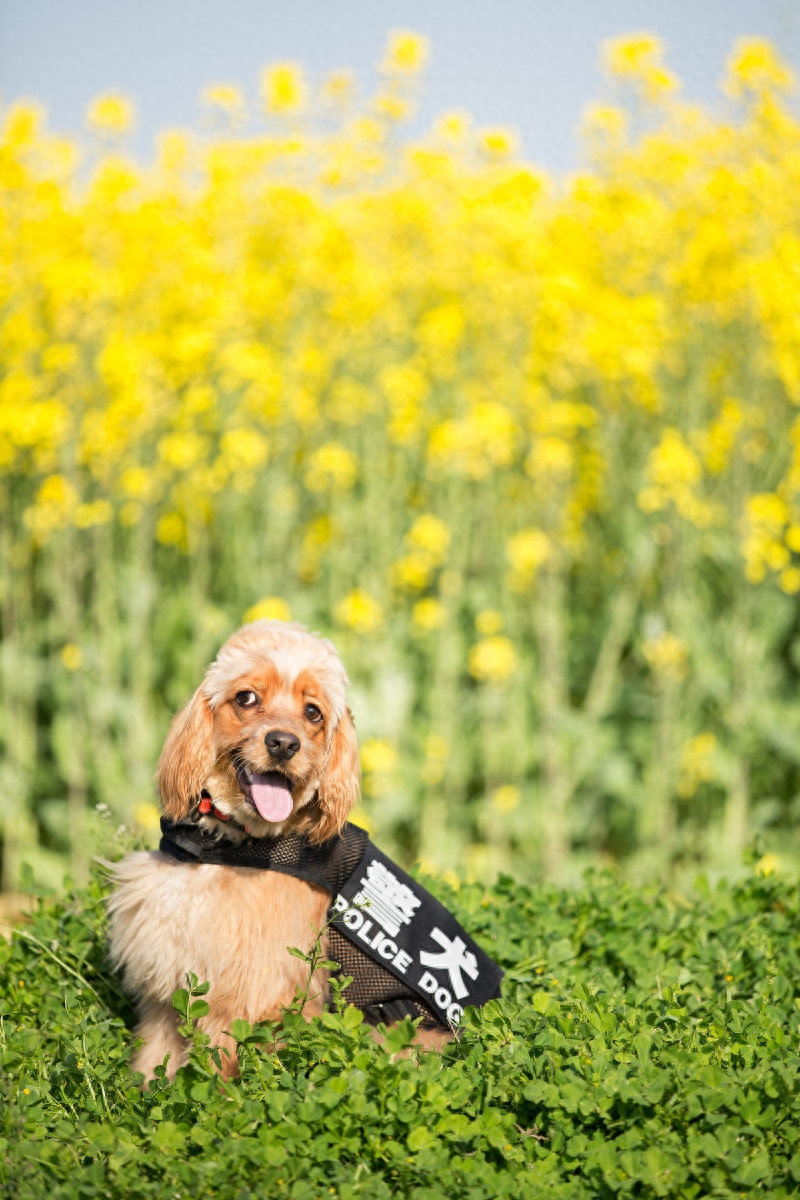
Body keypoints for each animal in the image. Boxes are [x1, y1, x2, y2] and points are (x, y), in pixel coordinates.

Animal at [104, 619, 362, 1080]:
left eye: (313, 712)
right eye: (246, 697)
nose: (283, 743)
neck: (227, 846)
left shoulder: (248, 992)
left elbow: (221, 1068)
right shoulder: (167, 984)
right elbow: (156, 1054)